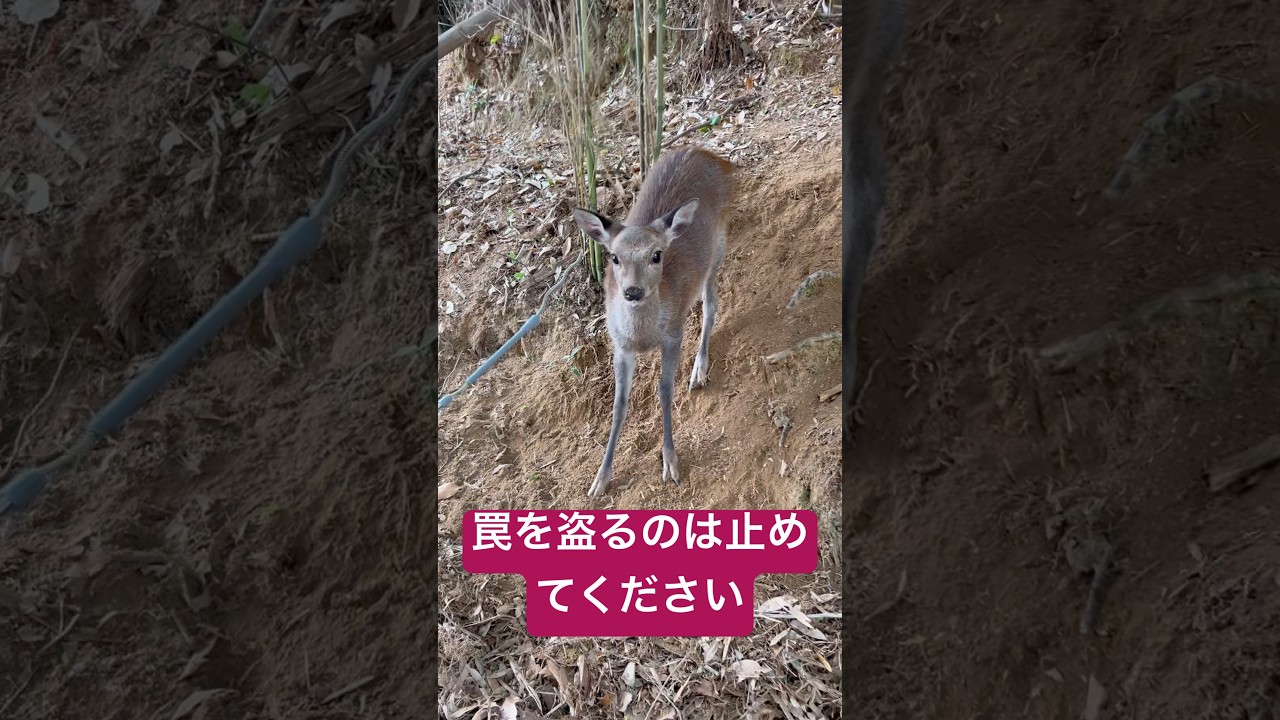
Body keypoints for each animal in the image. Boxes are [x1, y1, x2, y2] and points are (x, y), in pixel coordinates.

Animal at [570, 145, 735, 497]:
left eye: (656, 255)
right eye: (615, 257)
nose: (632, 291)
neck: (642, 337)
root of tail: (715, 157)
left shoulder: (672, 334)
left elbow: (664, 390)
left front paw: (670, 463)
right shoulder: (619, 346)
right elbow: (619, 405)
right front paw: (600, 478)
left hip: (718, 244)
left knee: (711, 304)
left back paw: (699, 369)